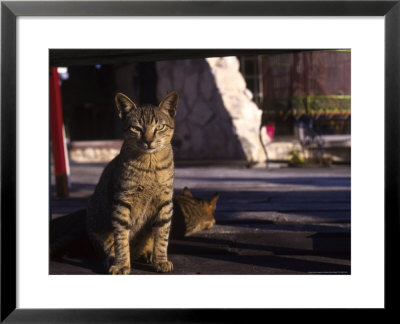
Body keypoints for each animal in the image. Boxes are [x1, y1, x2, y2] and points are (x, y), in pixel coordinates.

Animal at [86, 90, 179, 274]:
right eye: (136, 128)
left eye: (160, 127)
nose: (149, 141)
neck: (150, 164)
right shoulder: (123, 200)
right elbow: (121, 237)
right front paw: (122, 264)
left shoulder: (165, 201)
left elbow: (162, 235)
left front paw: (160, 260)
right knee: (109, 245)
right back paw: (113, 258)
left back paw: (148, 254)